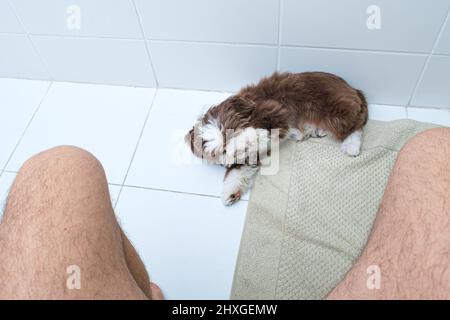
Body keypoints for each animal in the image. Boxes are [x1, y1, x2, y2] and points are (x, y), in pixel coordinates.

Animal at [185, 71, 368, 206]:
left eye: (231, 132)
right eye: (217, 152)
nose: (225, 159)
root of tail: (353, 88)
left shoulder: (277, 114)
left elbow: (254, 135)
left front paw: (238, 145)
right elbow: (240, 169)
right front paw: (230, 190)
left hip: (336, 112)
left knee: (356, 125)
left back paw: (351, 145)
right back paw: (313, 131)